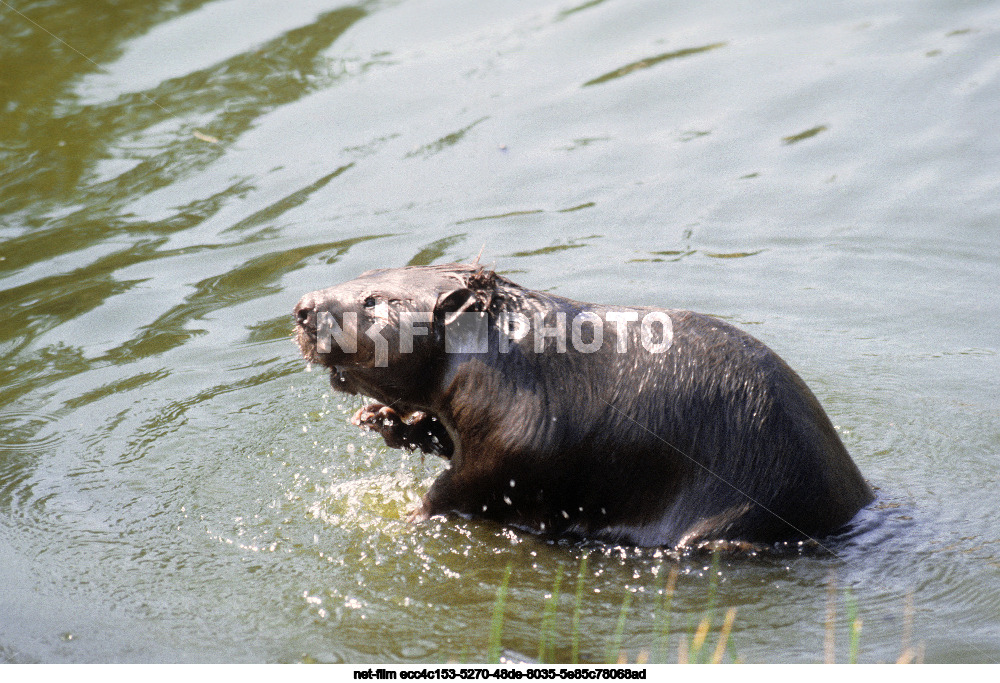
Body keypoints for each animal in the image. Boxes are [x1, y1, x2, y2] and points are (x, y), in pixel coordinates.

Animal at [292, 262, 872, 552]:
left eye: (373, 301)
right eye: (365, 278)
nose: (300, 308)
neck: (511, 360)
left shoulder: (522, 430)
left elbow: (472, 483)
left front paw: (409, 515)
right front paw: (383, 420)